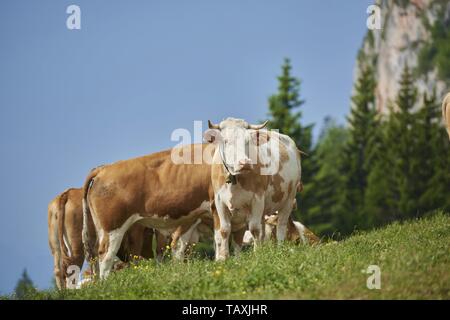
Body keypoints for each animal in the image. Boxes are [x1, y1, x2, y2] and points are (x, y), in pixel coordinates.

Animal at [207, 117, 302, 260]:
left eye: (247, 141)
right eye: (226, 141)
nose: (245, 163)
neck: (235, 178)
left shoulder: (257, 199)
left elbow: (254, 229)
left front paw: (257, 255)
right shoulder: (219, 201)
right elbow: (224, 230)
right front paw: (223, 258)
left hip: (289, 200)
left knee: (281, 225)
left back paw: (280, 249)